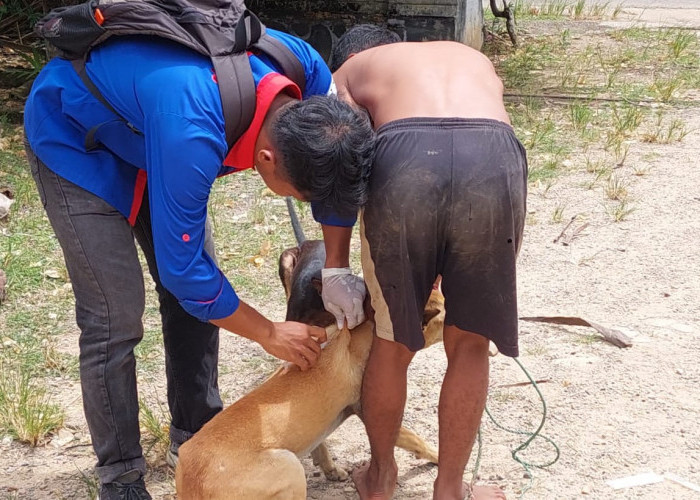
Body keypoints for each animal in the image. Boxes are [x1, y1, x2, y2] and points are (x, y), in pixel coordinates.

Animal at [174, 240, 442, 498]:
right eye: (443, 320)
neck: (367, 329)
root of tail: (195, 485)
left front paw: (330, 469)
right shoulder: (374, 412)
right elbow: (417, 440)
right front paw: (440, 458)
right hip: (290, 465)